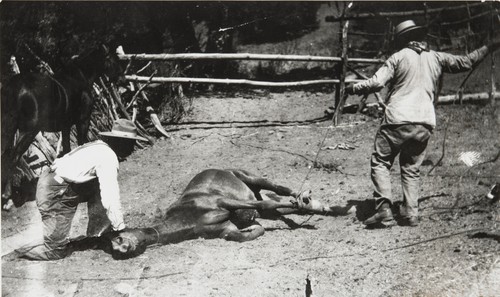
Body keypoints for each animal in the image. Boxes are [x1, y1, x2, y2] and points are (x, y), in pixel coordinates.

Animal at [1, 45, 124, 209]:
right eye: (112, 59)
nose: (122, 80)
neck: (80, 77)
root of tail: (15, 87)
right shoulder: (83, 121)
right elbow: (81, 145)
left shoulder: (65, 126)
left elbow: (67, 150)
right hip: (28, 131)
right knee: (13, 157)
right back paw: (7, 197)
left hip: (10, 128)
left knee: (6, 155)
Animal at [104, 168, 334, 258]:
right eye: (115, 246)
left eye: (119, 238)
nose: (120, 249)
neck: (187, 217)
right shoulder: (224, 228)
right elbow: (237, 234)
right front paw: (252, 229)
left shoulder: (225, 201)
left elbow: (264, 205)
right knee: (278, 208)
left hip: (251, 178)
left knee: (278, 191)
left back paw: (305, 200)